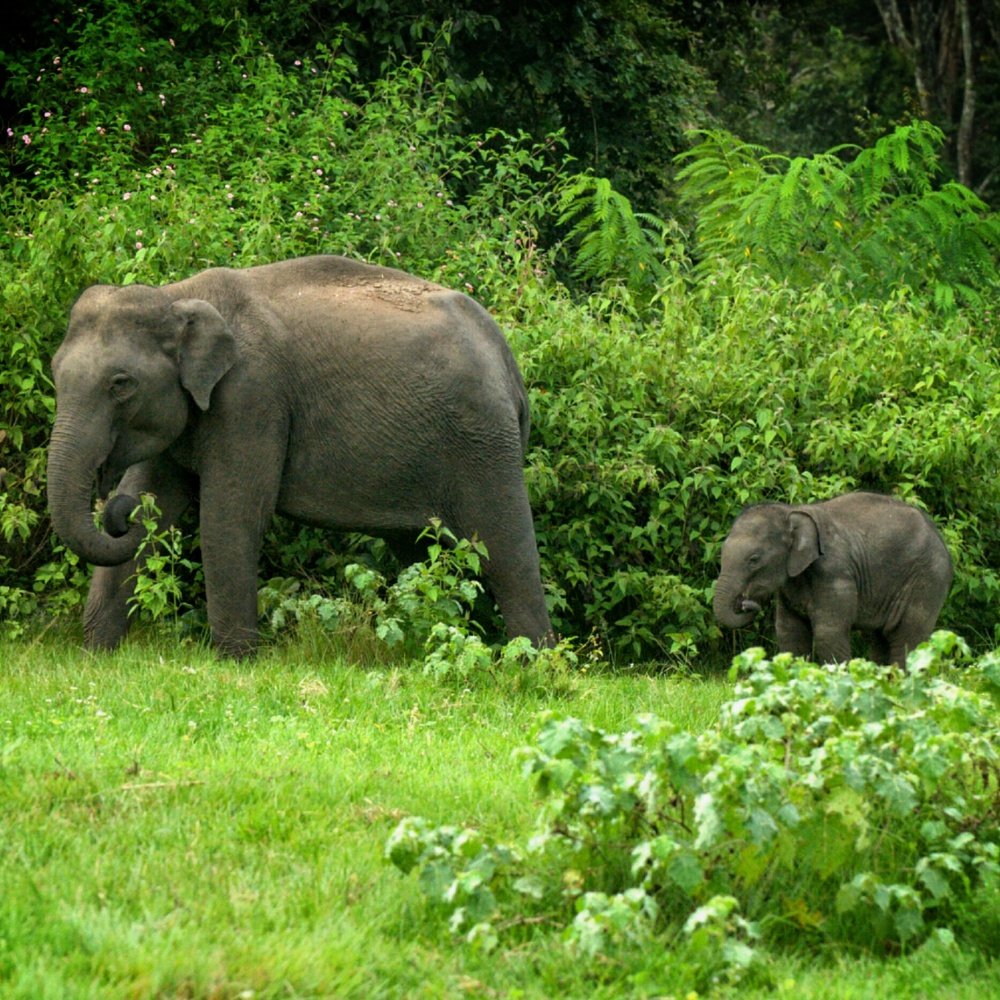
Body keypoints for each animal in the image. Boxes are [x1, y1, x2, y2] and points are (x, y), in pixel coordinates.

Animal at [47, 254, 555, 658]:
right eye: (54, 372)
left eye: (121, 384)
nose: (113, 508)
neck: (177, 296)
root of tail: (507, 361)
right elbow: (154, 499)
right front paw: (96, 656)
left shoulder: (252, 398)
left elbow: (230, 517)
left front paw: (234, 664)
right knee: (421, 547)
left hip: (482, 439)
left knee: (505, 550)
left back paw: (534, 666)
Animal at [712, 492, 952, 666]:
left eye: (754, 559)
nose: (746, 602)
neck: (791, 510)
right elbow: (790, 632)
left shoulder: (834, 572)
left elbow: (828, 633)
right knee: (880, 639)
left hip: (928, 578)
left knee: (907, 637)